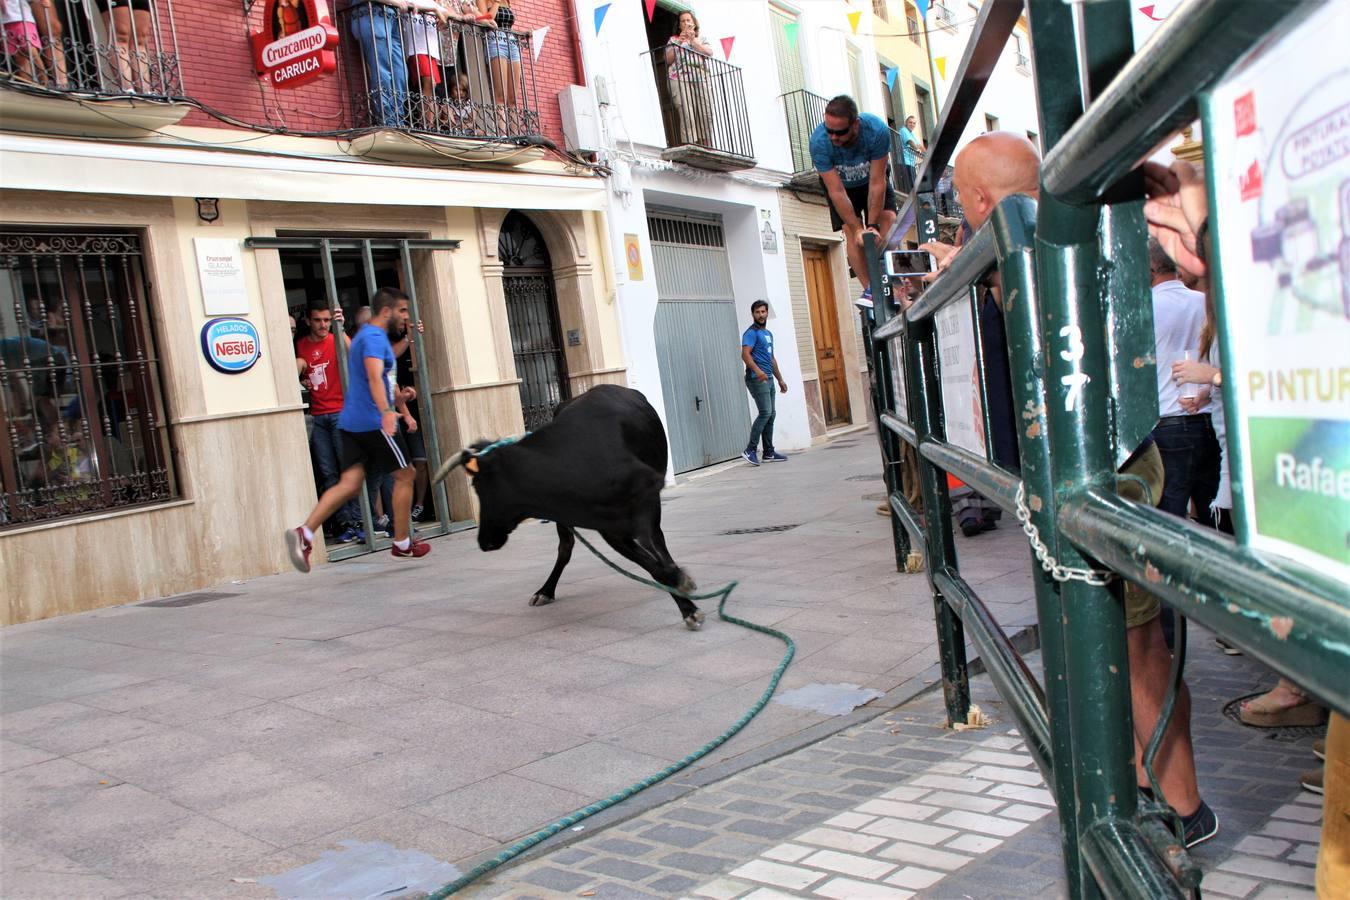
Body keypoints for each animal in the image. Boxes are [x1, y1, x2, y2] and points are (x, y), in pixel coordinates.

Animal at [432, 383, 707, 631]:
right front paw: (684, 594)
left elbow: (657, 556)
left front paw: (686, 598)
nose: (484, 541)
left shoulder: (646, 500)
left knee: (658, 542)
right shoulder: (610, 530)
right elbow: (651, 565)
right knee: (566, 547)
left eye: (477, 485)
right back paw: (545, 590)